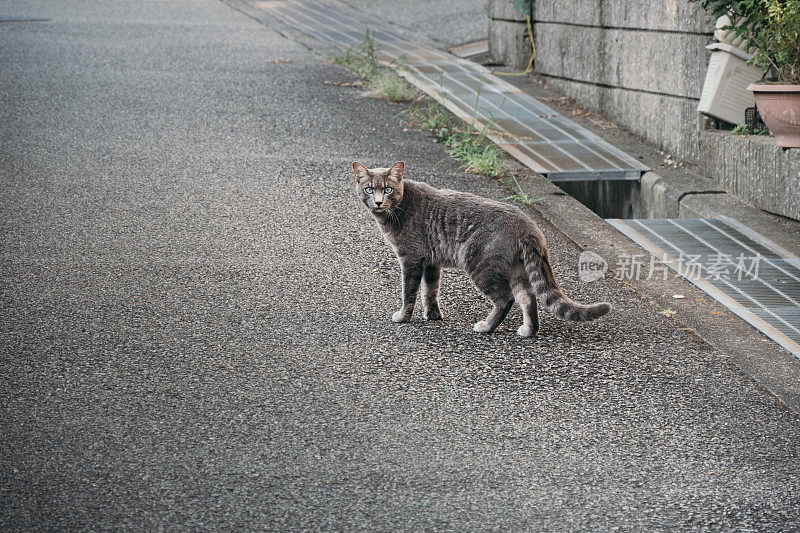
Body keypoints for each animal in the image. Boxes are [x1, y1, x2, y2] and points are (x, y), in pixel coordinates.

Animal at [354, 159, 608, 336]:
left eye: (387, 189)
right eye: (369, 189)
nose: (378, 201)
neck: (400, 207)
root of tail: (528, 225)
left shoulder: (411, 259)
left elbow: (409, 292)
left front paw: (403, 317)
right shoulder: (431, 262)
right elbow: (430, 291)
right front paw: (433, 315)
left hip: (480, 264)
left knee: (506, 299)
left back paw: (486, 326)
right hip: (517, 269)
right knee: (528, 297)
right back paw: (528, 330)